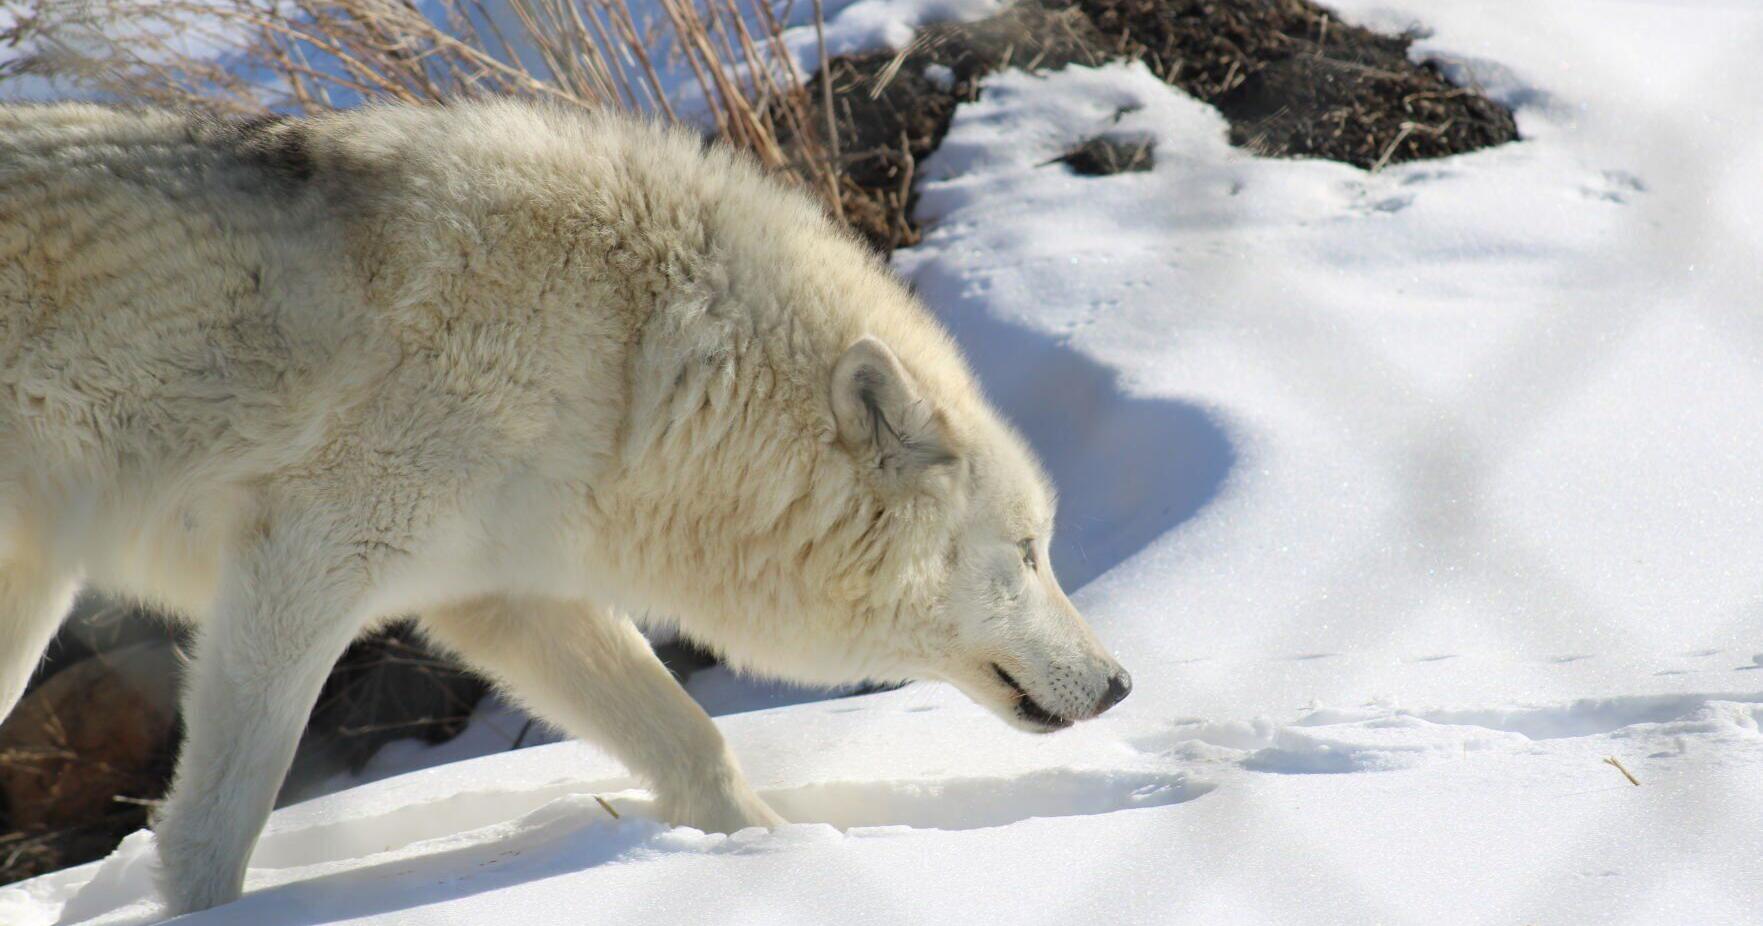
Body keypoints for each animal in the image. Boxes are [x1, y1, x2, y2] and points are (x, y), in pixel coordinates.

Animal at [0, 100, 1131, 913]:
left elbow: (698, 746)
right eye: (1028, 552)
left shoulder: (508, 598)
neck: (632, 363)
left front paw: (779, 856)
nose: (1122, 683)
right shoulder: (303, 565)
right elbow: (216, 827)